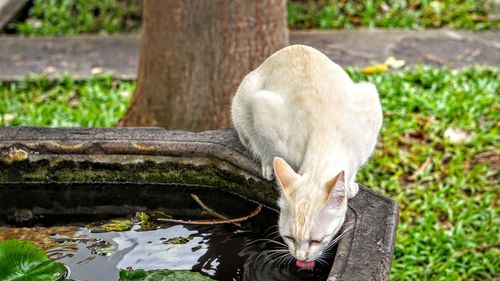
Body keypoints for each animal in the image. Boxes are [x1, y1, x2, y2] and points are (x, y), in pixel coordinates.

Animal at [231, 44, 382, 268]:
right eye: (289, 238)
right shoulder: (262, 108)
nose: (301, 257)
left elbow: (353, 168)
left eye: (317, 240)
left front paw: (349, 185)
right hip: (243, 104)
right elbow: (267, 147)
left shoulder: (370, 113)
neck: (325, 136)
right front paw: (269, 162)